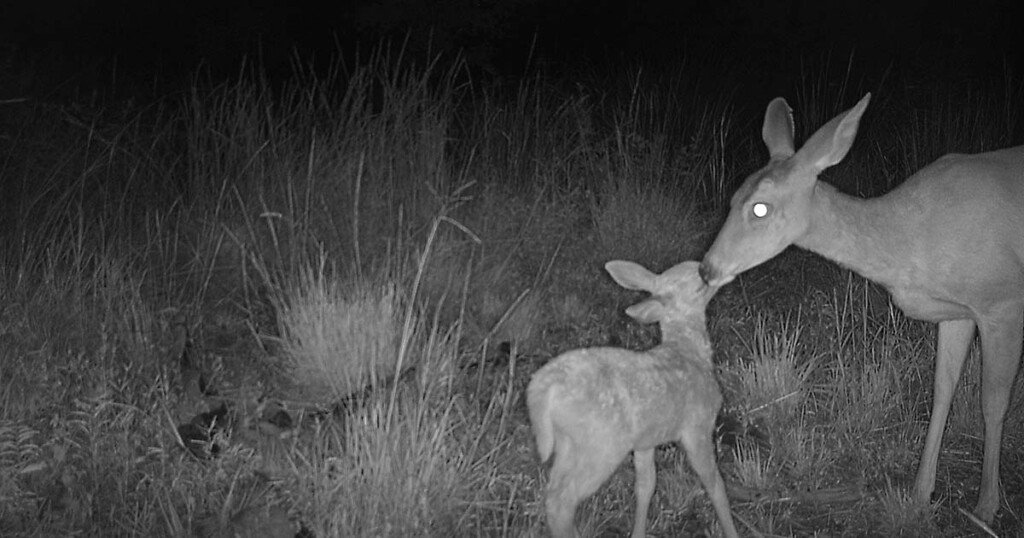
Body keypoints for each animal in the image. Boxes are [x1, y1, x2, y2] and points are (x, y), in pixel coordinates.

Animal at [700, 94, 1019, 522]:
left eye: (760, 208)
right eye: (733, 199)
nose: (707, 268)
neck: (912, 238)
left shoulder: (1003, 302)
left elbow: (993, 402)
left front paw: (986, 506)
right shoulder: (956, 311)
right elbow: (942, 389)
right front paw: (920, 492)